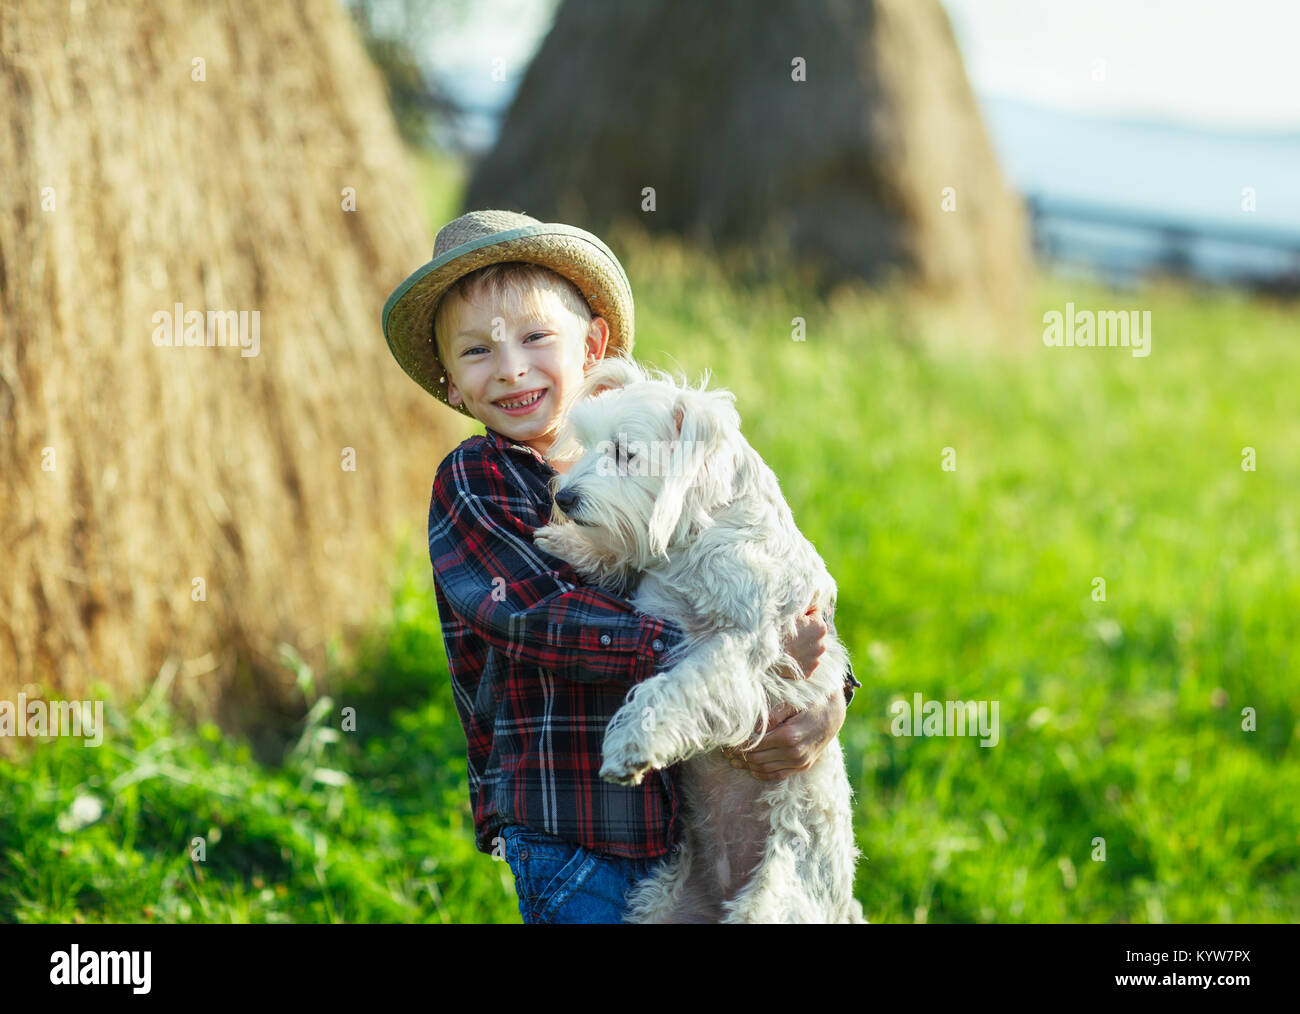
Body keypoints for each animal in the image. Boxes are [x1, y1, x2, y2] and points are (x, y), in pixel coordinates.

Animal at [533, 353, 868, 920]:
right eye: (589, 442)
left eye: (625, 452)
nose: (565, 496)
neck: (700, 535)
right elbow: (622, 562)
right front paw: (572, 545)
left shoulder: (739, 650)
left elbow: (677, 687)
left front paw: (631, 744)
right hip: (659, 903)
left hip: (772, 904)